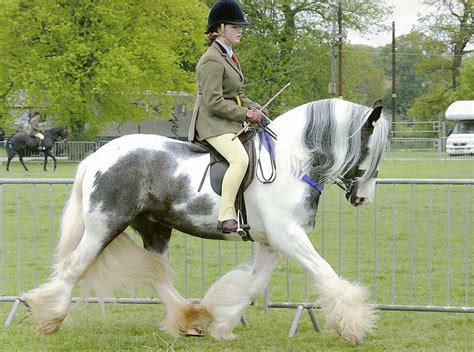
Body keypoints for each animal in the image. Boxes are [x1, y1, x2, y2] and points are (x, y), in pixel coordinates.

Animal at [21, 98, 388, 344]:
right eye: (371, 149)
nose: (364, 198)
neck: (289, 163)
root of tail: (96, 157)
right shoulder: (289, 236)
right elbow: (325, 273)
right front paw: (354, 326)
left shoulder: (271, 242)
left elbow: (253, 285)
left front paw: (222, 323)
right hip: (104, 225)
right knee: (74, 268)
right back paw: (49, 318)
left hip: (154, 227)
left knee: (156, 276)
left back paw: (190, 320)